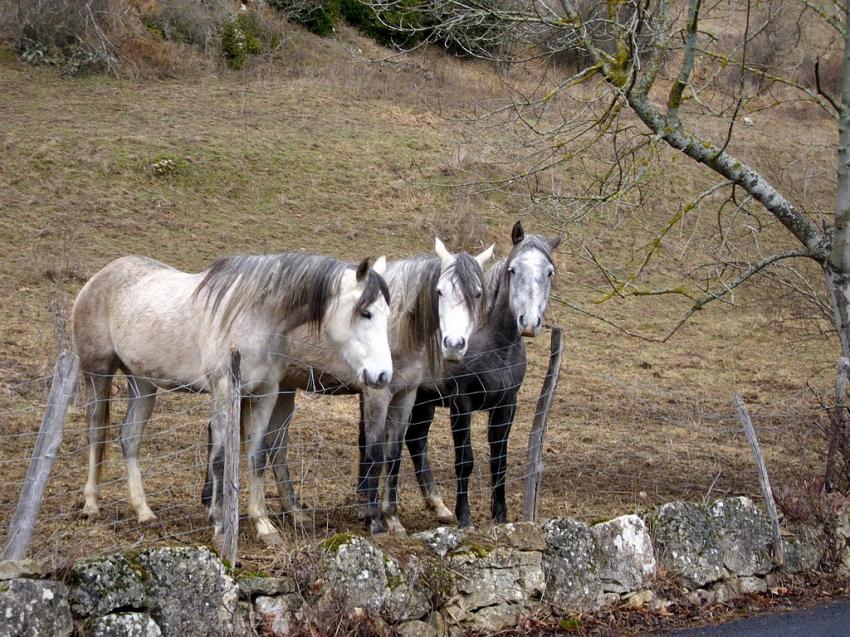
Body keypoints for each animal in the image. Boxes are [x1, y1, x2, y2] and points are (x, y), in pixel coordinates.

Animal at [73, 252, 393, 547]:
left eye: (387, 314)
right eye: (365, 313)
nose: (383, 375)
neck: (256, 316)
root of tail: (99, 277)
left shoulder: (266, 394)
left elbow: (257, 457)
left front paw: (264, 525)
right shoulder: (226, 390)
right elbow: (220, 457)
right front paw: (219, 524)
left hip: (142, 383)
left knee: (130, 438)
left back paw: (144, 511)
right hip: (97, 374)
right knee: (95, 433)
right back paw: (91, 505)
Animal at [201, 238, 494, 534]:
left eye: (478, 294)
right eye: (440, 291)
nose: (454, 345)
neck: (397, 324)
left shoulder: (405, 396)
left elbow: (394, 455)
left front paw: (393, 518)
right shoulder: (377, 394)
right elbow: (375, 453)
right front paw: (374, 520)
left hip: (280, 390)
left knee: (273, 446)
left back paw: (294, 512)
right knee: (225, 434)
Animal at [380, 221, 561, 528]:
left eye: (549, 272)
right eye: (514, 269)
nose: (528, 323)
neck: (494, 345)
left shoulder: (506, 405)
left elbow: (498, 460)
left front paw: (500, 517)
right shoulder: (461, 403)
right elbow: (465, 460)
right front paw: (464, 518)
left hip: (423, 402)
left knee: (415, 441)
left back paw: (438, 506)